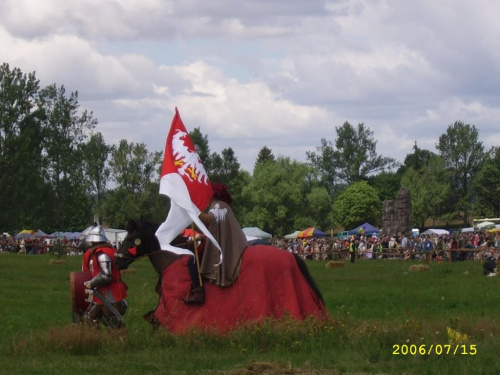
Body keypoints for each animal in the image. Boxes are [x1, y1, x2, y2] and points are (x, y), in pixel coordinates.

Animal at [117, 220, 328, 334]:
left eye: (131, 239)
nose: (118, 261)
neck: (172, 257)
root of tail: (291, 255)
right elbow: (154, 320)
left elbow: (157, 320)